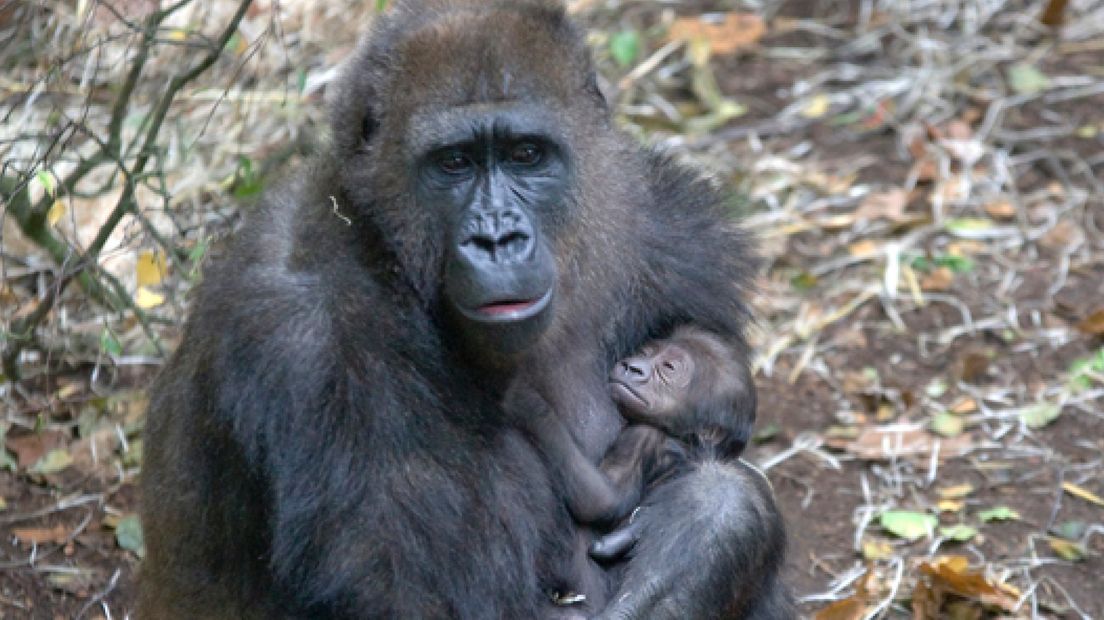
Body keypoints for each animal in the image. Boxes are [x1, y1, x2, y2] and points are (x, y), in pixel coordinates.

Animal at [138, 2, 790, 613]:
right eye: (454, 162)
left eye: (527, 154)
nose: (498, 239)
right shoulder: (305, 337)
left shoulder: (667, 221)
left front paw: (707, 524)